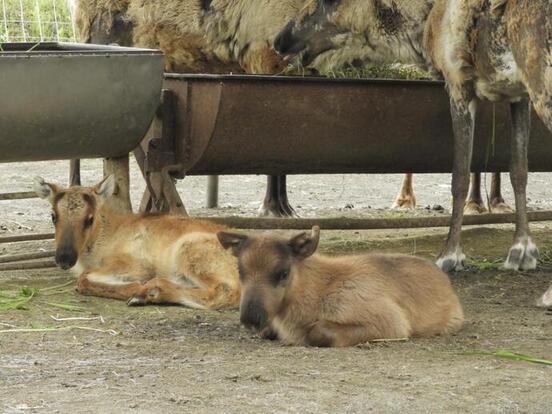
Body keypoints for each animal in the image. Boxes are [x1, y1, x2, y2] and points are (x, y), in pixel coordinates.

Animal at [34, 176, 239, 308]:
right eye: (53, 216)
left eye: (89, 219)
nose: (64, 258)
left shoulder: (136, 264)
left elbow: (83, 280)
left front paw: (136, 287)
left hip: (190, 252)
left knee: (225, 291)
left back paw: (149, 292)